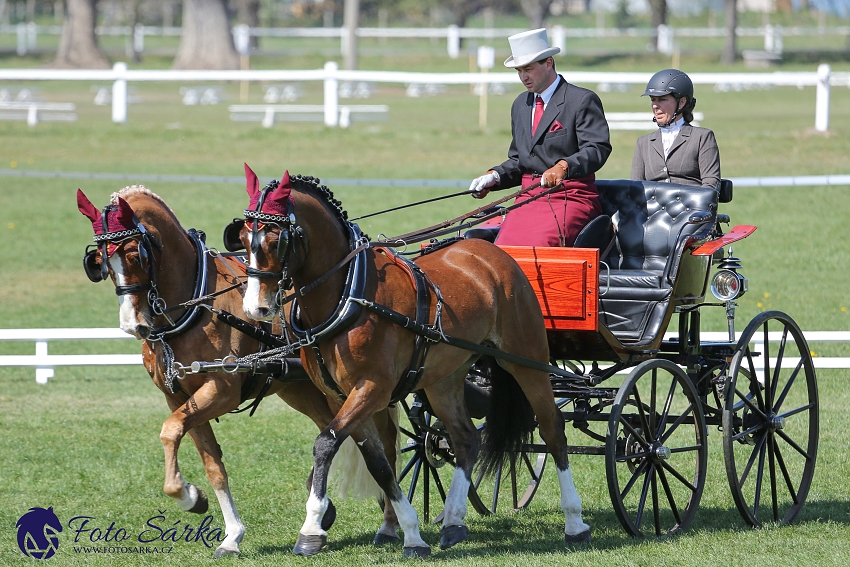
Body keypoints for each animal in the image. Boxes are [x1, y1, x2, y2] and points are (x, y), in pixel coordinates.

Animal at [76, 187, 400, 560]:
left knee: (380, 444)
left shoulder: (221, 389)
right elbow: (208, 461)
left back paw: (388, 523)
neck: (195, 302)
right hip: (301, 388)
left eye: (134, 255)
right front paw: (218, 523)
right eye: (102, 262)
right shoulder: (177, 395)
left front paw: (188, 495)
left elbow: (170, 430)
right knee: (336, 431)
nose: (134, 325)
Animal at [227, 165, 588, 560]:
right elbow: (379, 463)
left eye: (276, 240)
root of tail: (494, 253)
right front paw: (410, 533)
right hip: (445, 378)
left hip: (528, 360)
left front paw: (312, 528)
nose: (256, 309)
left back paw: (574, 522)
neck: (347, 292)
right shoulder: (341, 396)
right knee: (466, 440)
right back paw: (453, 521)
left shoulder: (372, 389)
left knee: (553, 429)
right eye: (243, 239)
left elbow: (325, 444)